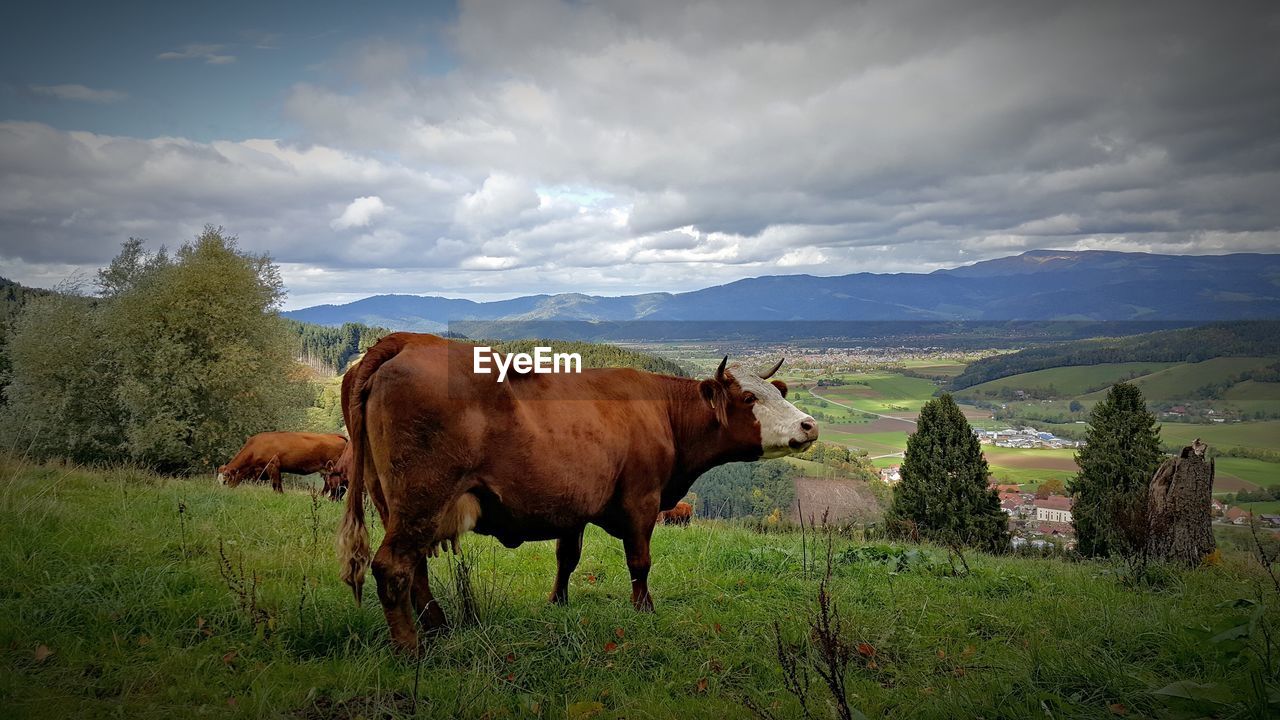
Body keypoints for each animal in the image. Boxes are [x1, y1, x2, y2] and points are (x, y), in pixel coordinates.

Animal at [337, 330, 819, 650]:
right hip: (422, 498)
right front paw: (644, 611)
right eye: (749, 399)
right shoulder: (641, 500)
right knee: (393, 567)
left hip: (397, 504)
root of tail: (406, 341)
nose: (809, 424)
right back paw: (412, 650)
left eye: (777, 392)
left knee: (414, 568)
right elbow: (640, 562)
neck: (662, 410)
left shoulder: (571, 506)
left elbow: (566, 558)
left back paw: (438, 627)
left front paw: (558, 603)